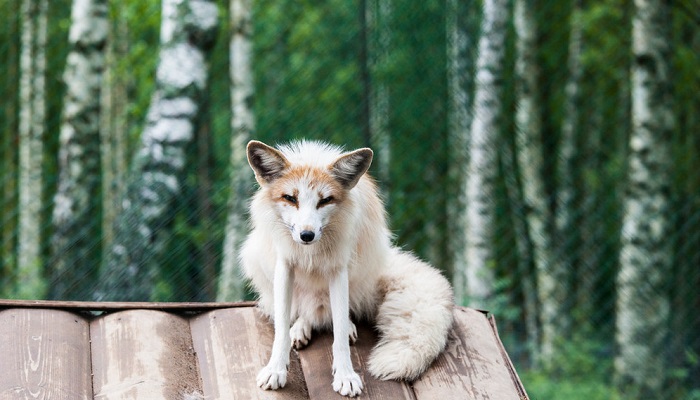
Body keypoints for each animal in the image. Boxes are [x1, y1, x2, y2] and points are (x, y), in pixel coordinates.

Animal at [242, 141, 454, 396]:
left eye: (325, 200)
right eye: (290, 198)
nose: (306, 235)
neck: (311, 254)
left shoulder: (338, 270)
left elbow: (340, 332)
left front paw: (345, 375)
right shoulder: (285, 265)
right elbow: (281, 330)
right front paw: (276, 369)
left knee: (339, 312)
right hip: (256, 259)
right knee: (303, 311)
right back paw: (301, 327)